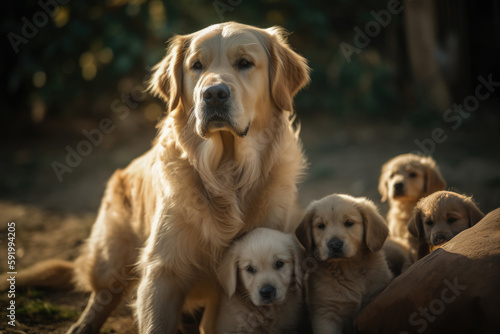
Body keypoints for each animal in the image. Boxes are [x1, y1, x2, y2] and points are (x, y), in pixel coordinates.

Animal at [294, 194, 392, 332]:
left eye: (349, 223)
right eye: (321, 225)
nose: (335, 245)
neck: (347, 267)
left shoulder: (375, 299)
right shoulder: (326, 313)